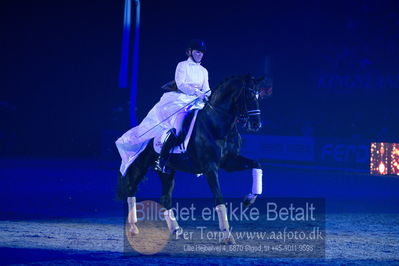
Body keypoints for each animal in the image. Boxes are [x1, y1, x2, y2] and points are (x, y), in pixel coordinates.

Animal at [119, 74, 266, 243]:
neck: (217, 124)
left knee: (165, 199)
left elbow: (256, 164)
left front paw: (250, 199)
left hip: (167, 171)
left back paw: (176, 230)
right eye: (249, 96)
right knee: (131, 190)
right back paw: (133, 228)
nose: (256, 124)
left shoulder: (229, 162)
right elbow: (219, 198)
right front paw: (227, 235)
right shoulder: (210, 168)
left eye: (258, 96)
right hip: (140, 166)